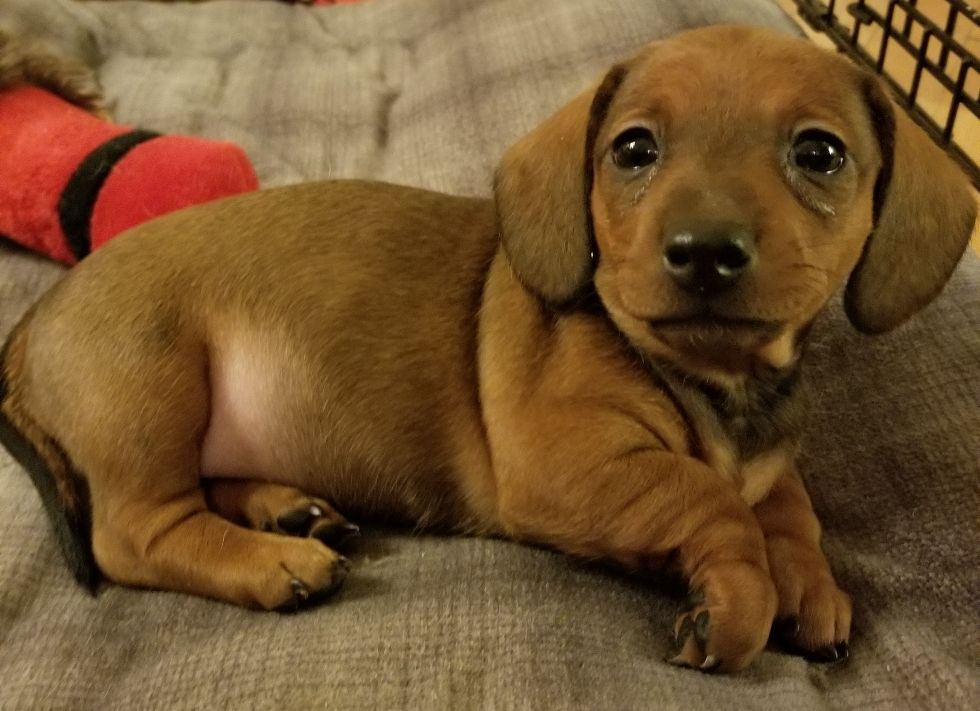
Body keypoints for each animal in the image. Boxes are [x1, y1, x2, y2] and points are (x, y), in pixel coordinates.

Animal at [0, 23, 972, 672]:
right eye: (633, 148)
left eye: (820, 153)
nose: (703, 250)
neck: (716, 383)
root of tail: (35, 321)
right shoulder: (569, 461)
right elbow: (711, 497)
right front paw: (738, 599)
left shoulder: (767, 460)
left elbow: (787, 505)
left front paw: (805, 578)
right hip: (151, 392)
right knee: (136, 533)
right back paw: (273, 559)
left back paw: (286, 509)